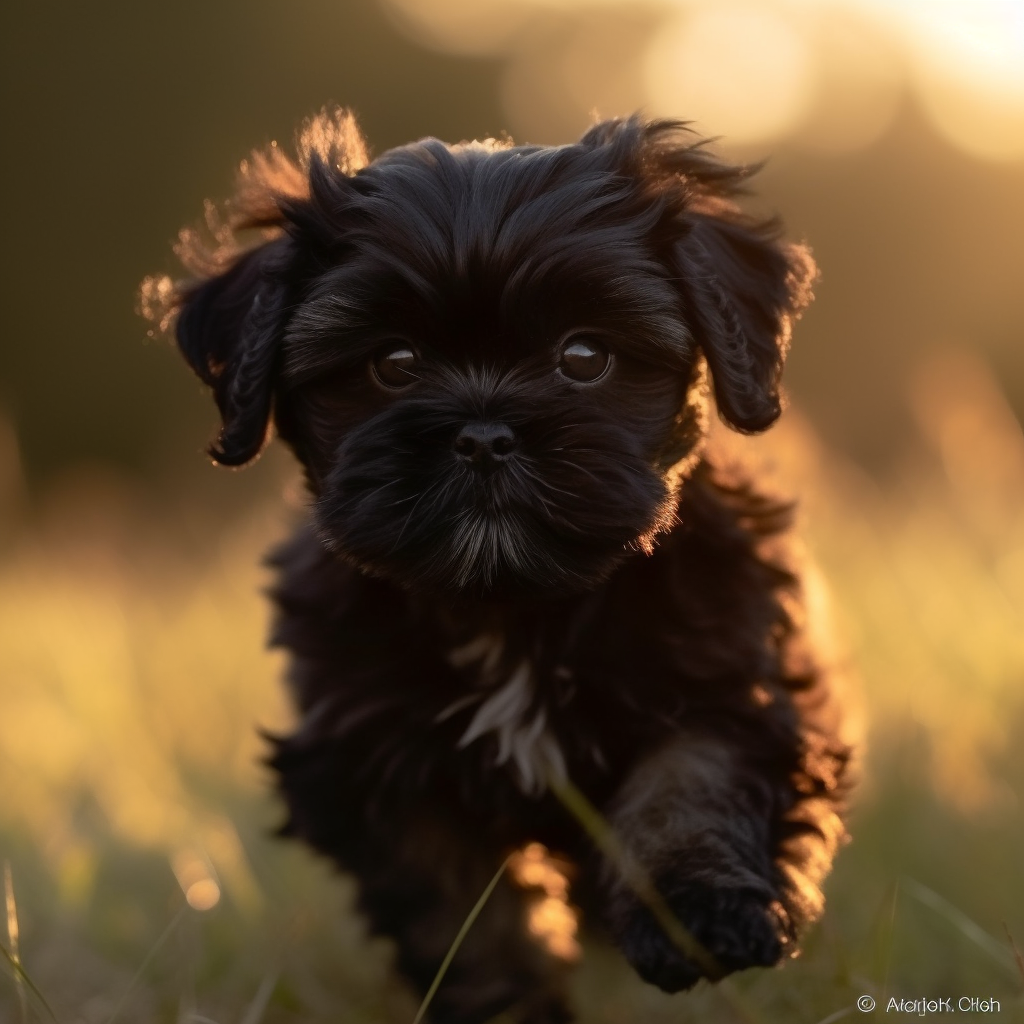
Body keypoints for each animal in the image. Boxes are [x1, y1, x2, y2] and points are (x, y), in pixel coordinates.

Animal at [148, 112, 851, 1024]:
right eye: (394, 364)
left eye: (584, 357)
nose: (483, 434)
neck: (511, 603)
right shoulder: (382, 768)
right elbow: (466, 917)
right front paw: (507, 1004)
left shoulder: (730, 677)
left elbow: (690, 781)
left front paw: (696, 911)